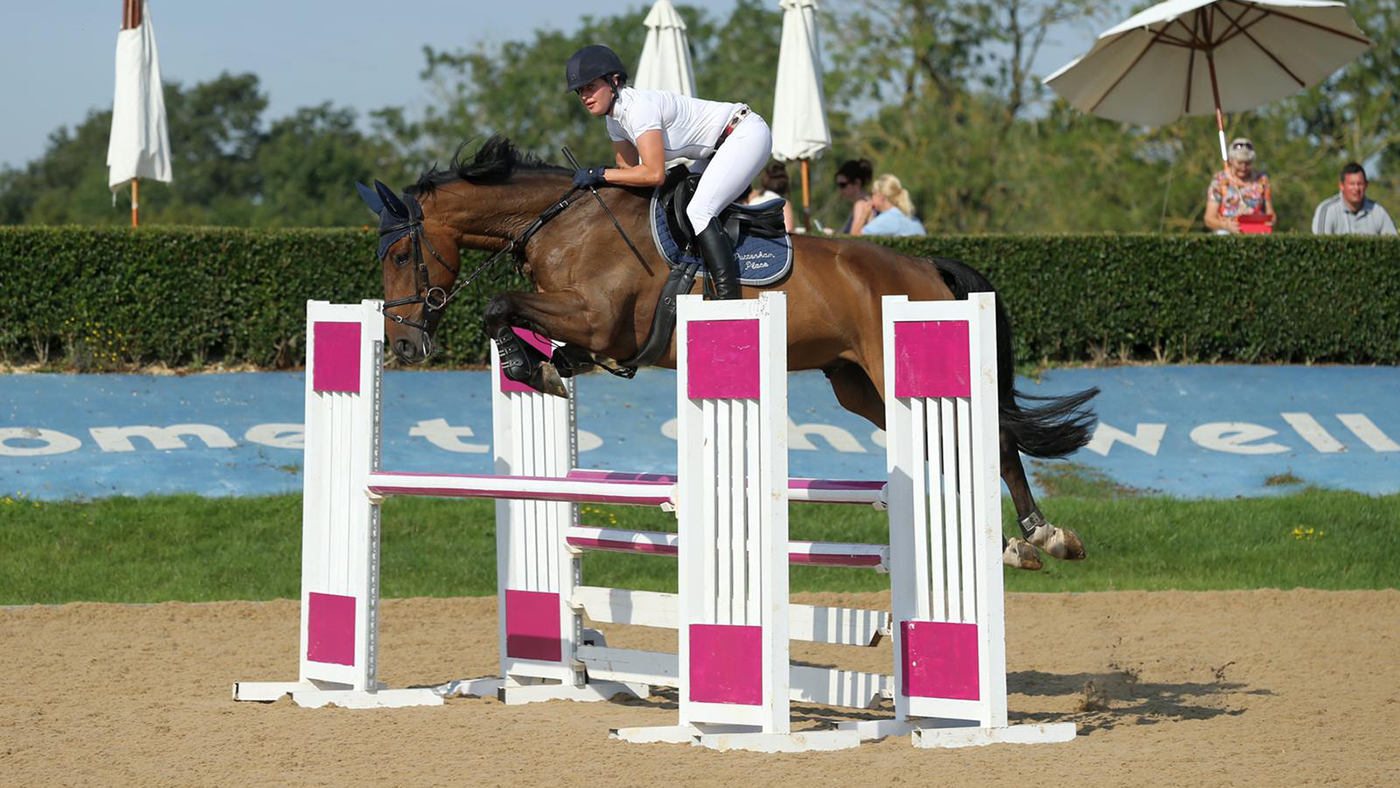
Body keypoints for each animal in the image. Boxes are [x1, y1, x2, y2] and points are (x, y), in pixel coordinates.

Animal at [361, 136, 1098, 569]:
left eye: (399, 255)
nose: (403, 343)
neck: (561, 223)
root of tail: (923, 266)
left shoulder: (599, 319)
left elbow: (498, 306)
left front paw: (527, 365)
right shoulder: (593, 331)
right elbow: (533, 331)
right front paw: (540, 366)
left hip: (895, 371)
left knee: (999, 440)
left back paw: (1042, 536)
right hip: (859, 386)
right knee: (965, 443)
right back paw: (1011, 542)